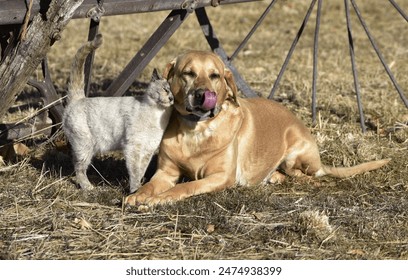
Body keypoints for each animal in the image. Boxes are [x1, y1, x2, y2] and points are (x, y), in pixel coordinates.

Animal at [62, 34, 174, 192]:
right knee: (79, 167)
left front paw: (140, 189)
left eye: (174, 93)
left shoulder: (148, 149)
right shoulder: (133, 147)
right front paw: (134, 190)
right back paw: (88, 187)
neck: (157, 115)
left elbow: (141, 171)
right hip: (85, 146)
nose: (171, 98)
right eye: (165, 90)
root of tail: (79, 98)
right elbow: (134, 172)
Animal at [125, 50, 388, 206]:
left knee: (307, 174)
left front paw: (161, 198)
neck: (196, 130)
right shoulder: (165, 173)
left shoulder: (221, 176)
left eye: (214, 75)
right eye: (188, 73)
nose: (202, 95)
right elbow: (149, 185)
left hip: (295, 155)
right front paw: (138, 195)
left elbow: (188, 185)